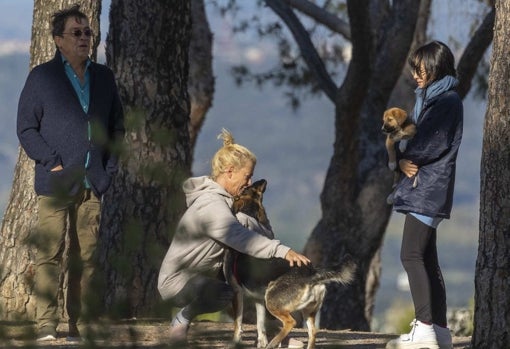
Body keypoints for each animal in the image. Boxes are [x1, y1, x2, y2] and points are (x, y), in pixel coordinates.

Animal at [225, 179, 356, 348]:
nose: (261, 180)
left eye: (245, 189)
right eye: (253, 188)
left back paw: (274, 343)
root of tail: (312, 273)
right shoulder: (258, 299)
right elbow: (260, 324)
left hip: (272, 301)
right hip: (307, 311)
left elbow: (238, 324)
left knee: (290, 323)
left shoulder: (237, 292)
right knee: (313, 333)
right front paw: (261, 342)